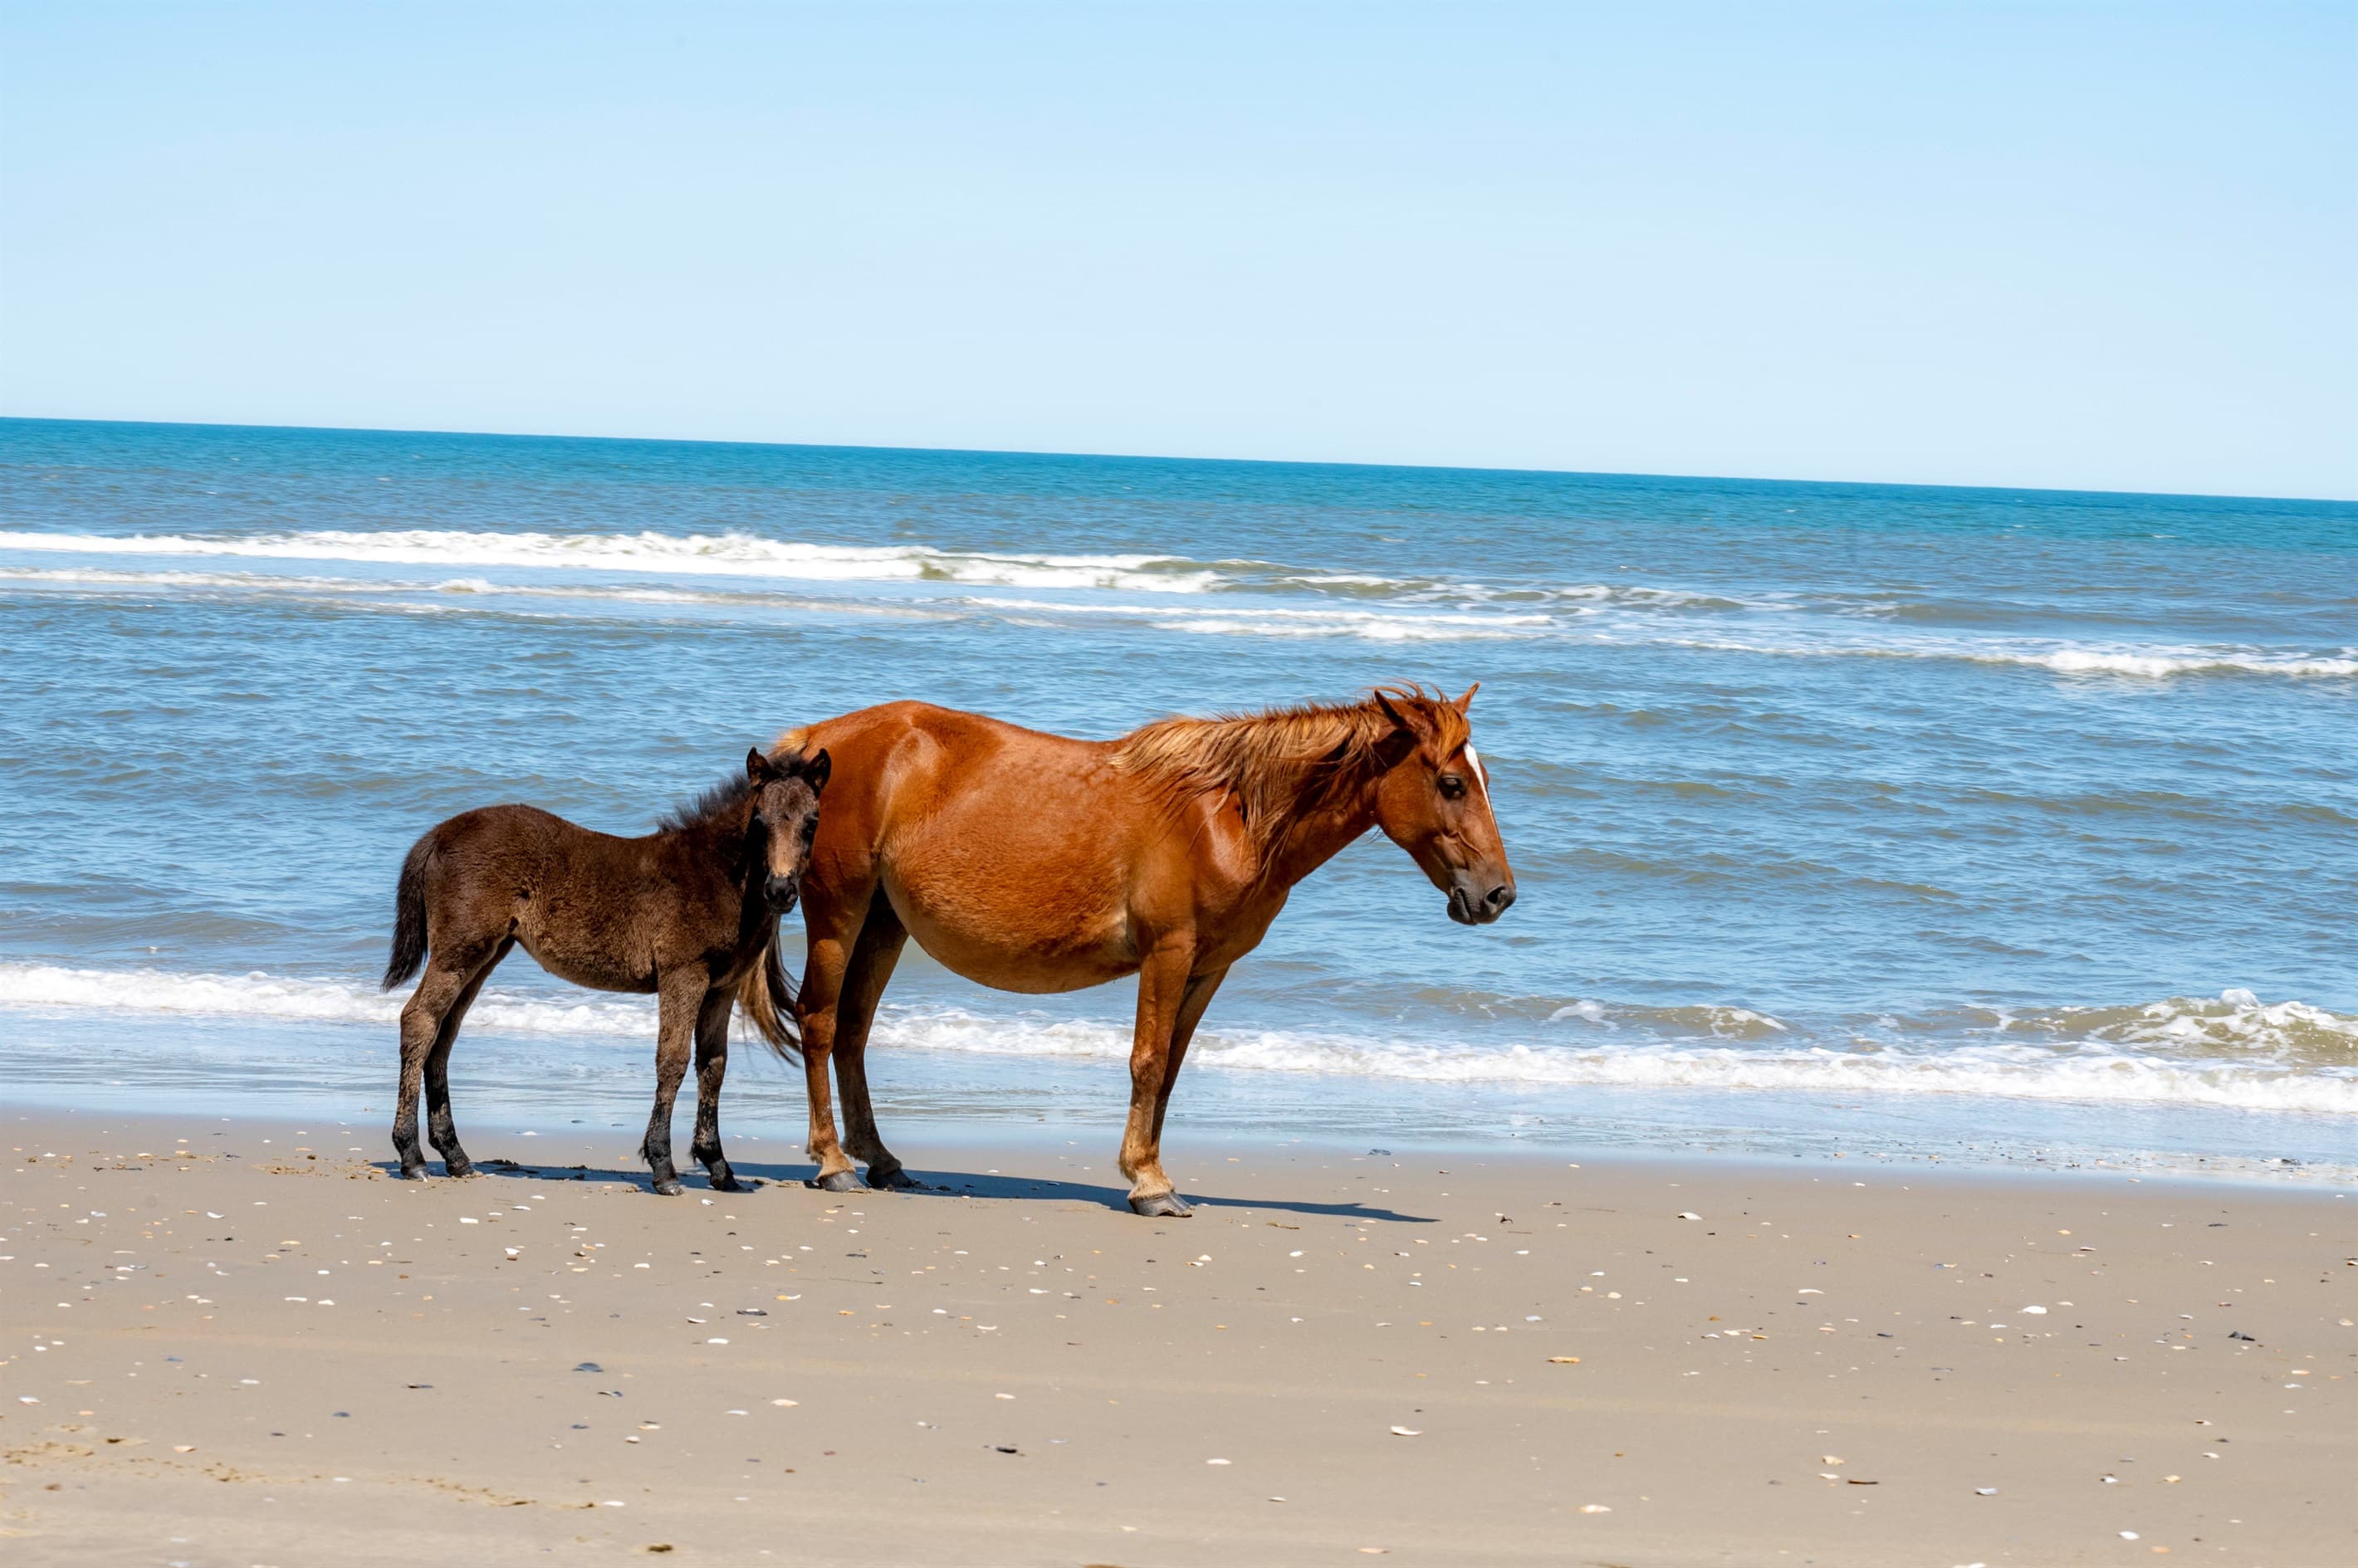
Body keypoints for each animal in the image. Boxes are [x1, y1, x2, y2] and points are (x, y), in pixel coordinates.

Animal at [381, 745, 830, 1193]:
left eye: (812, 824)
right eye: (760, 822)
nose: (781, 891)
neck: (715, 873)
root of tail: (439, 834)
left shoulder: (723, 986)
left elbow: (713, 1065)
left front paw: (719, 1166)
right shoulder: (683, 974)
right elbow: (673, 1060)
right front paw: (663, 1167)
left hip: (486, 955)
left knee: (444, 1033)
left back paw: (454, 1156)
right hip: (459, 952)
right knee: (419, 1020)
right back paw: (412, 1156)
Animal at [747, 683, 1515, 1216]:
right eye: (1451, 782)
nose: (1498, 894)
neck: (1228, 815)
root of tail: (817, 740)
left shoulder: (1208, 967)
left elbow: (1168, 1070)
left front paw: (1151, 1169)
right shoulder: (1168, 954)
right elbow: (1146, 1063)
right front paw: (1149, 1184)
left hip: (884, 923)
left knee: (852, 1030)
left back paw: (880, 1159)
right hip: (840, 915)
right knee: (820, 1023)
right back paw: (833, 1163)